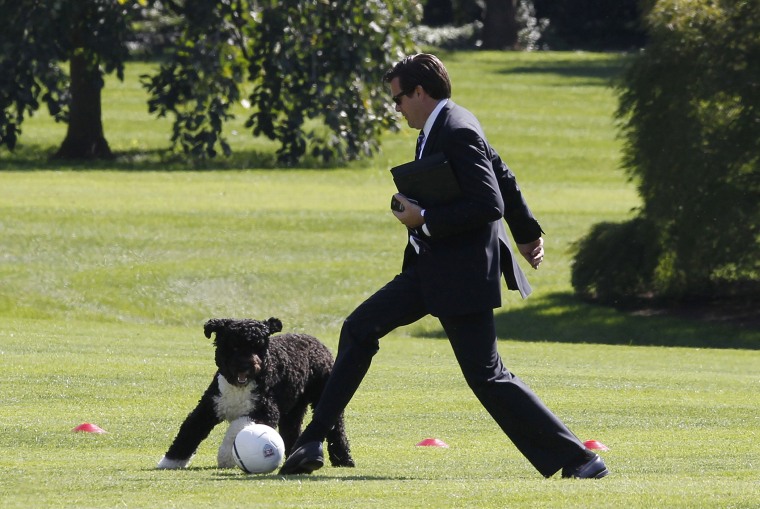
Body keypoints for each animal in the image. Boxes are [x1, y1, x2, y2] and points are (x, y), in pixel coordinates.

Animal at [157, 318, 356, 468]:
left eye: (258, 347)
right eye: (234, 346)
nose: (246, 364)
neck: (239, 388)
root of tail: (316, 341)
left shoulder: (264, 411)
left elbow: (236, 428)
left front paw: (226, 456)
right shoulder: (208, 408)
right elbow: (189, 431)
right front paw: (170, 462)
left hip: (324, 394)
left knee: (336, 428)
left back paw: (343, 460)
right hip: (292, 409)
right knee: (292, 429)